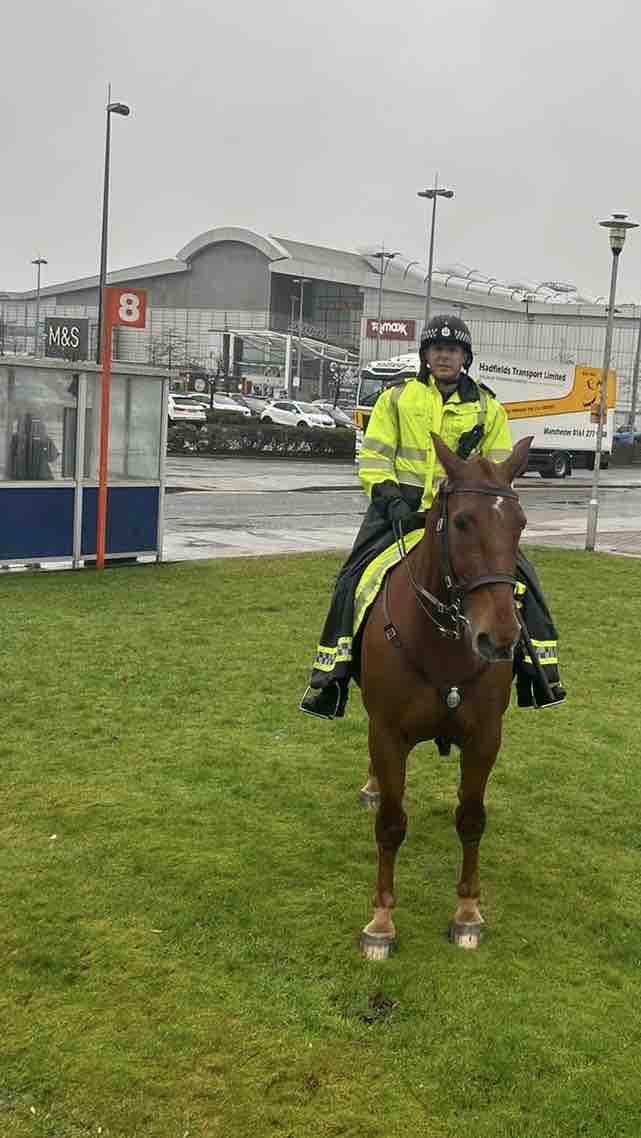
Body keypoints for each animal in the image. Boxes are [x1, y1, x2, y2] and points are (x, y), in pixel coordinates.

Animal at [355, 430, 532, 955]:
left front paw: (468, 912)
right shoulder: (387, 734)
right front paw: (381, 921)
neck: (443, 647)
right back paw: (371, 785)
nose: (500, 638)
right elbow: (391, 824)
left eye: (520, 524)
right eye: (461, 521)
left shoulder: (485, 738)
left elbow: (471, 818)